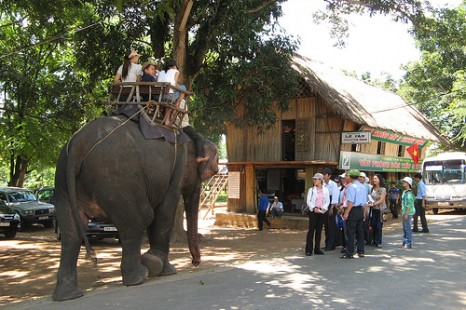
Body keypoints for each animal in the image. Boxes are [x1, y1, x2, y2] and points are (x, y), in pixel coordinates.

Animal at [52, 114, 219, 300]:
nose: (195, 262)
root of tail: (77, 146)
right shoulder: (176, 169)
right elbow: (165, 211)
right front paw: (162, 268)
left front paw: (161, 267)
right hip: (118, 179)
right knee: (138, 221)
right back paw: (138, 277)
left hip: (63, 181)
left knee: (71, 233)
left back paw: (68, 295)